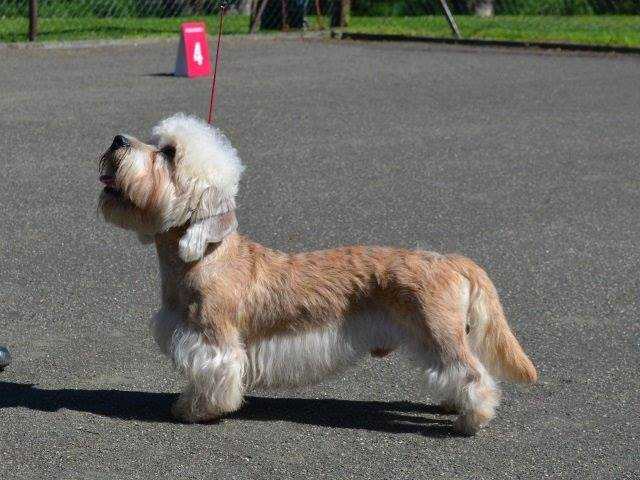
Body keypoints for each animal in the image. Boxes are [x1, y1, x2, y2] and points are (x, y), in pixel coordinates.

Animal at [97, 113, 536, 436]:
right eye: (155, 141)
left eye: (168, 153)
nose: (117, 139)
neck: (203, 256)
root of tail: (451, 260)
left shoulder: (215, 341)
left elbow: (214, 377)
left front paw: (195, 410)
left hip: (439, 332)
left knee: (473, 373)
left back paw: (471, 419)